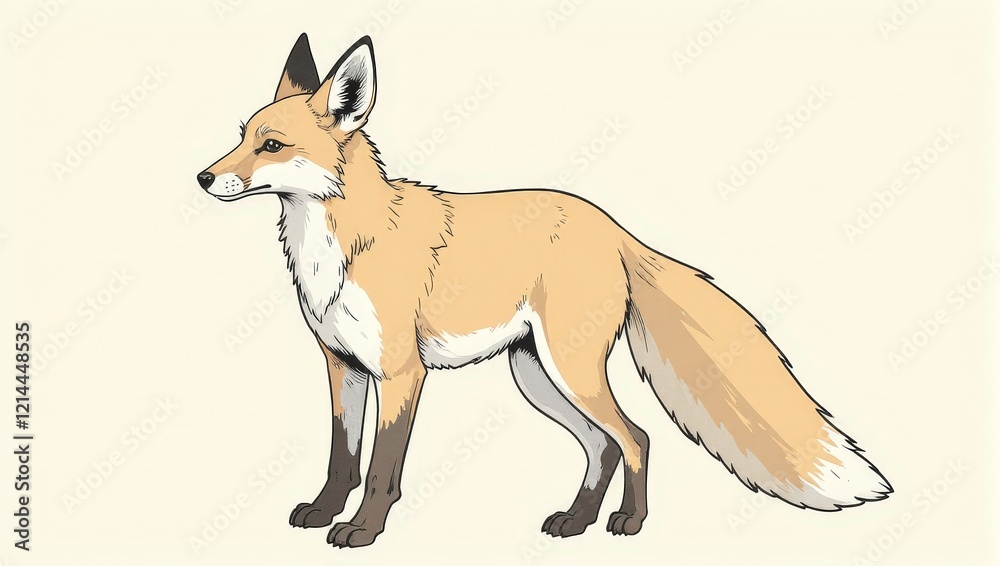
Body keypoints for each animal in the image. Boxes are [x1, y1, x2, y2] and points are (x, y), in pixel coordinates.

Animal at [196, 34, 891, 548]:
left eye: (271, 145)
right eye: (240, 136)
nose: (203, 177)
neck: (341, 247)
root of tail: (613, 226)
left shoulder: (399, 371)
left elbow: (379, 469)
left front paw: (363, 531)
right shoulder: (342, 366)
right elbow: (342, 457)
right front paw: (322, 512)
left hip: (568, 370)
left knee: (635, 438)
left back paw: (628, 524)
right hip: (536, 376)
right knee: (605, 445)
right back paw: (577, 520)